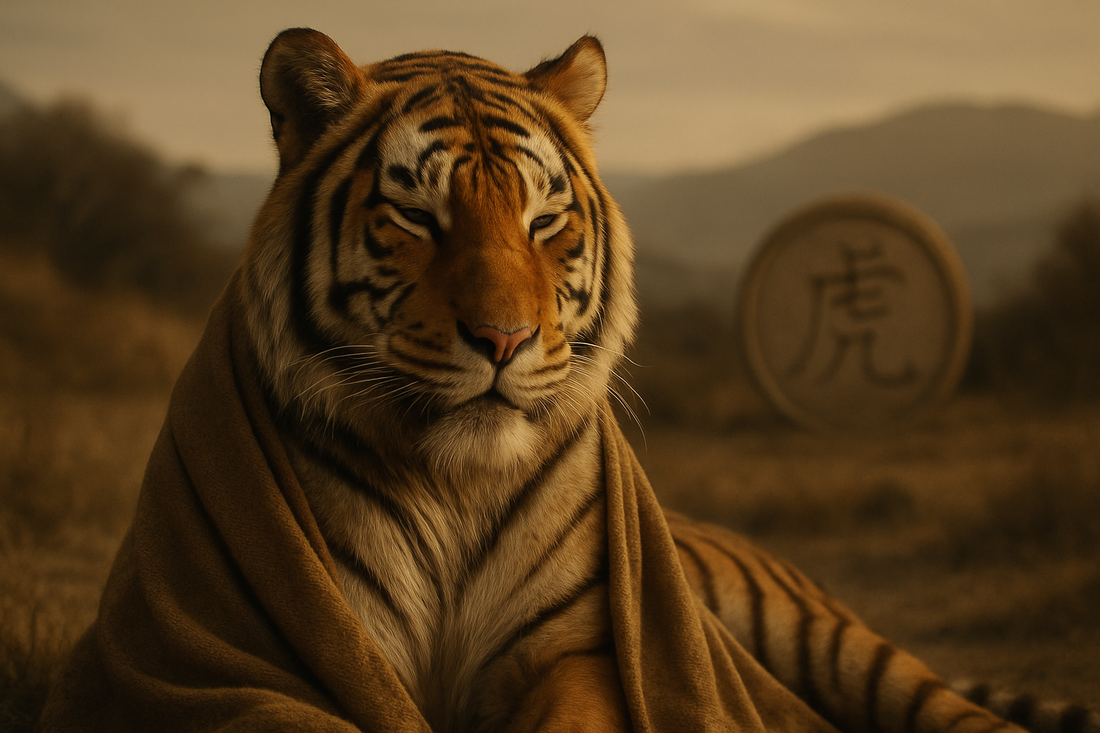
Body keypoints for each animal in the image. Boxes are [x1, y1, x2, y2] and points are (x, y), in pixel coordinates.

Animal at [240, 27, 1097, 733]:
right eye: (416, 217)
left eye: (543, 222)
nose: (504, 339)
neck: (454, 482)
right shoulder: (296, 659)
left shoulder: (576, 650)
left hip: (828, 641)